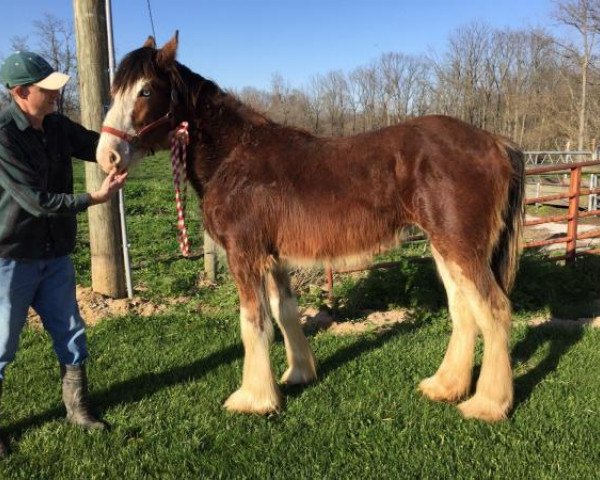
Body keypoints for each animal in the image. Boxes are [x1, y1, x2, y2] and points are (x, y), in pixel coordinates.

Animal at [96, 33, 524, 422]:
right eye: (115, 91)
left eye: (146, 90)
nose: (107, 156)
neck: (233, 157)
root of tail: (496, 142)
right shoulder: (273, 258)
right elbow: (284, 312)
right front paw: (297, 374)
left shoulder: (244, 255)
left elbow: (253, 323)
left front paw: (253, 398)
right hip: (444, 247)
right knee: (464, 310)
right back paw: (445, 386)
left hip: (462, 248)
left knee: (494, 309)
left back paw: (487, 404)